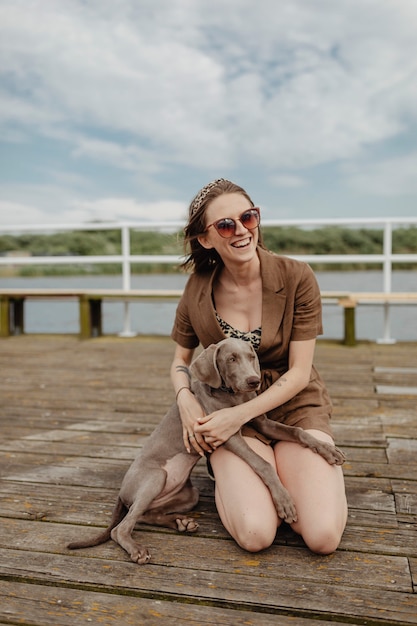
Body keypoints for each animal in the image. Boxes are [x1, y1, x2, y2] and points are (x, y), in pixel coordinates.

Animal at [66, 338, 342, 564]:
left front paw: (328, 450)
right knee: (121, 527)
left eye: (251, 356)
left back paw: (181, 522)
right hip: (156, 477)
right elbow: (262, 464)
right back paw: (137, 549)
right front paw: (284, 502)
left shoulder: (261, 422)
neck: (233, 397)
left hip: (190, 495)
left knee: (143, 515)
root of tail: (122, 492)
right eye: (231, 358)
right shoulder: (225, 434)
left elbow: (298, 431)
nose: (253, 381)